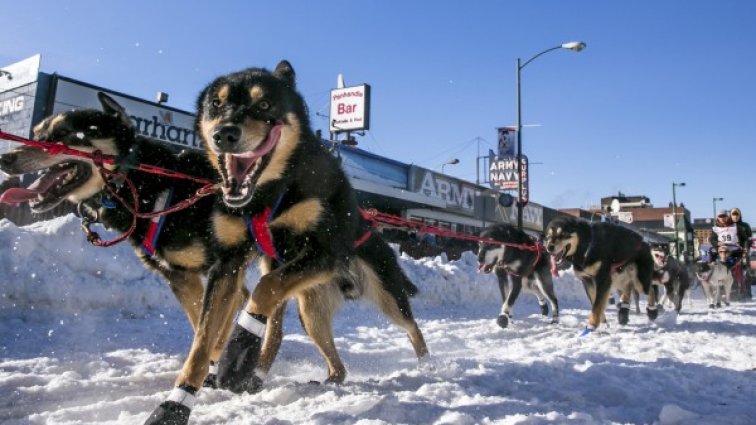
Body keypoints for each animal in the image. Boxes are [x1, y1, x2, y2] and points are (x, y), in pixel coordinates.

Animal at [0, 94, 250, 386]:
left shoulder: (226, 263)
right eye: (37, 133)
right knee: (244, 297)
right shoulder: (179, 275)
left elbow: (207, 326)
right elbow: (203, 323)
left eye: (63, 133)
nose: (5, 158)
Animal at [145, 60, 428, 424]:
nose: (224, 133)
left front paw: (238, 347)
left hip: (385, 293)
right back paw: (295, 376)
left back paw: (429, 367)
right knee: (306, 346)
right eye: (216, 104)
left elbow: (265, 289)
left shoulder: (325, 251)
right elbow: (203, 341)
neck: (269, 193)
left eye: (264, 104)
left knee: (412, 326)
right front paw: (175, 405)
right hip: (310, 311)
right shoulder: (229, 264)